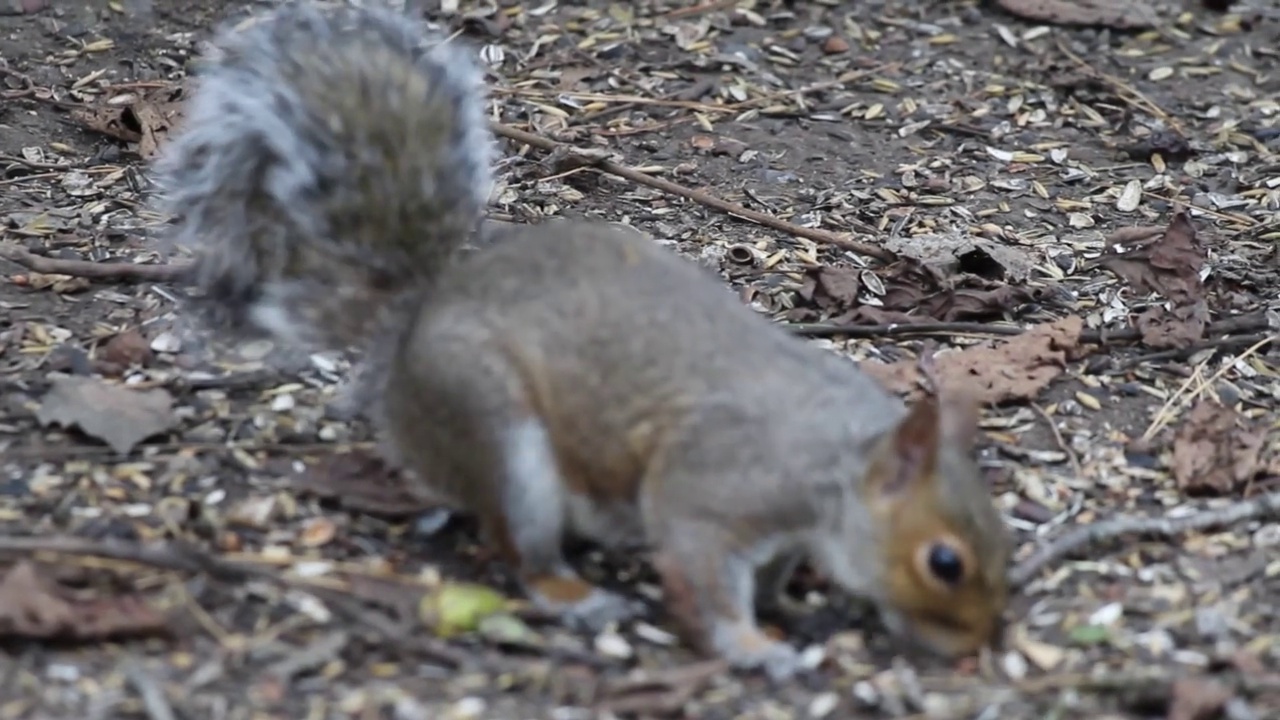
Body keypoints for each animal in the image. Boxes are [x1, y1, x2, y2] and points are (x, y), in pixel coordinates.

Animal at [149, 0, 1008, 676]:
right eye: (944, 563)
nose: (975, 645)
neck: (838, 464)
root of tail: (414, 330)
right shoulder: (713, 488)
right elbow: (700, 571)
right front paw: (753, 647)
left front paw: (787, 609)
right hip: (499, 434)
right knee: (514, 546)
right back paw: (571, 594)